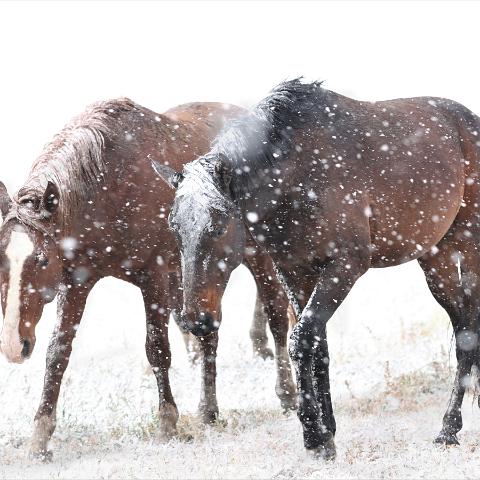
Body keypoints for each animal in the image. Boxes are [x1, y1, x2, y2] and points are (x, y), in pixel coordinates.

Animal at [0, 98, 294, 462]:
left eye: (40, 259)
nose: (14, 346)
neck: (105, 184)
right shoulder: (76, 284)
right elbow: (58, 353)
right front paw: (40, 438)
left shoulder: (153, 278)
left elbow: (157, 348)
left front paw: (167, 422)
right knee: (208, 332)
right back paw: (208, 412)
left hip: (258, 257)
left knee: (277, 316)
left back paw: (287, 393)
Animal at [154, 79, 480, 462]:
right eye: (174, 227)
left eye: (218, 225)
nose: (195, 320)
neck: (295, 175)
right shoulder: (295, 272)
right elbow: (317, 345)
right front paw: (328, 435)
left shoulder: (344, 267)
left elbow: (301, 338)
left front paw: (312, 435)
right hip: (435, 258)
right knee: (462, 326)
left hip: (469, 249)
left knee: (467, 332)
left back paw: (449, 429)